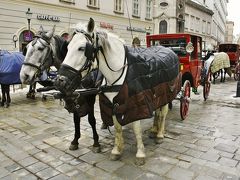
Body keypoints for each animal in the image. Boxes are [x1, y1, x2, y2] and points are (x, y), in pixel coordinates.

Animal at [54, 18, 180, 166]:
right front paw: (117, 150)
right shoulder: (113, 105)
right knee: (157, 112)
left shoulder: (136, 105)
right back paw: (154, 129)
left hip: (166, 93)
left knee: (163, 113)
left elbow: (136, 129)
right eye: (67, 48)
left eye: (82, 48)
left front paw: (140, 153)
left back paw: (159, 134)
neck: (118, 73)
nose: (60, 81)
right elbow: (118, 127)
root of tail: (168, 49)